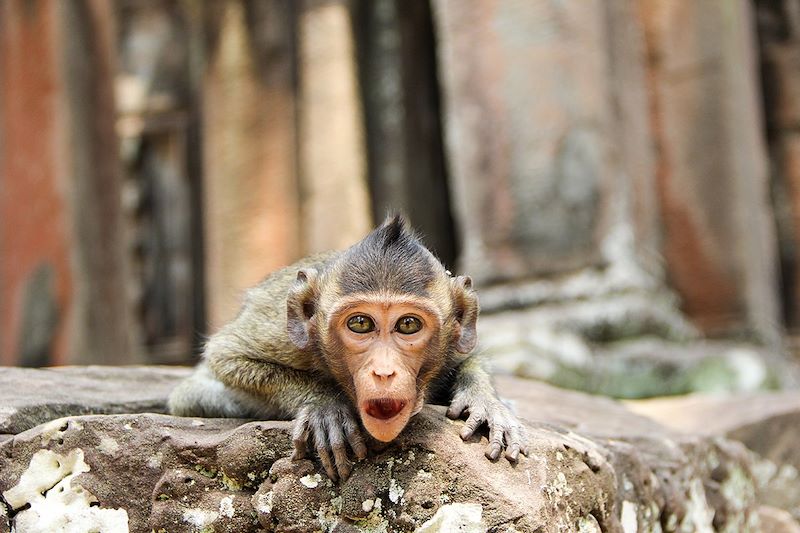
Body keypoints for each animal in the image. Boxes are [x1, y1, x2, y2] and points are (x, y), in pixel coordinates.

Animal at [169, 214, 528, 480]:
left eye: (408, 325)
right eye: (360, 324)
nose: (384, 371)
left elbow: (472, 356)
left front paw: (485, 402)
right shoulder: (283, 336)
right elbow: (226, 355)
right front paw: (324, 404)